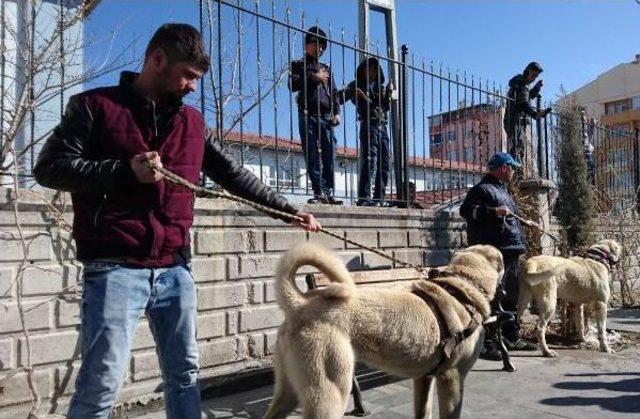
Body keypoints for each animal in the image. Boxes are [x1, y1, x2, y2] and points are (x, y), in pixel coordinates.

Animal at [262, 243, 502, 419]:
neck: (462, 284)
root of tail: (300, 304)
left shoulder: (424, 379)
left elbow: (423, 412)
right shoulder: (452, 378)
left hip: (289, 390)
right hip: (329, 393)